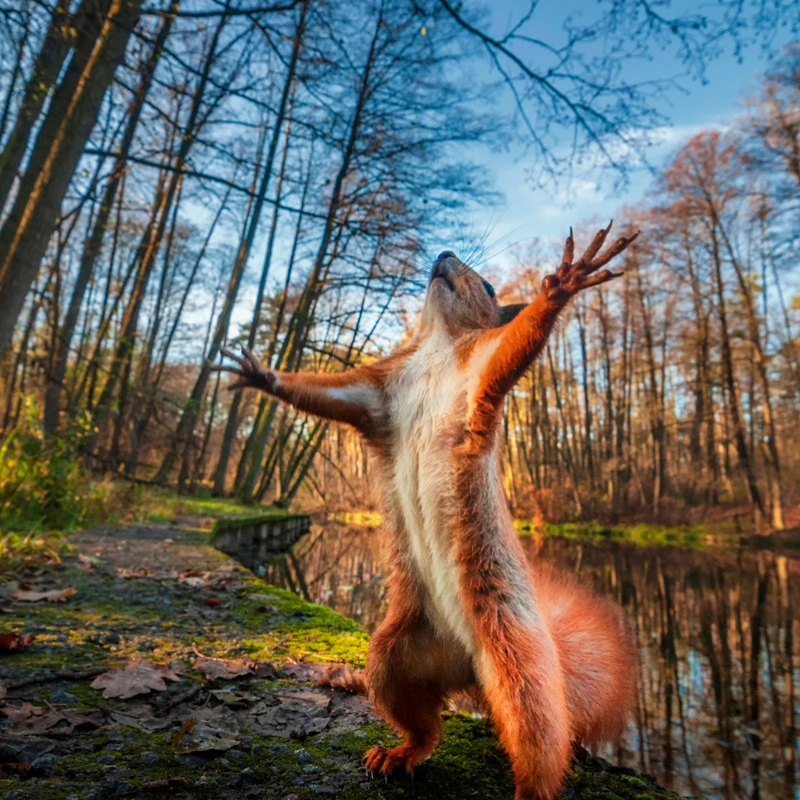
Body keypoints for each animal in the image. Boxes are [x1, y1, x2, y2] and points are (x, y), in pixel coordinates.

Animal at [215, 222, 639, 800]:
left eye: (487, 285)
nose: (443, 253)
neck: (437, 345)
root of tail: (469, 671)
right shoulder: (377, 395)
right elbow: (324, 395)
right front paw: (263, 376)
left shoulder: (481, 370)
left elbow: (517, 346)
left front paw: (563, 284)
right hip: (395, 655)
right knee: (424, 724)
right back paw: (400, 753)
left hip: (519, 662)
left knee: (538, 739)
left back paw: (528, 786)